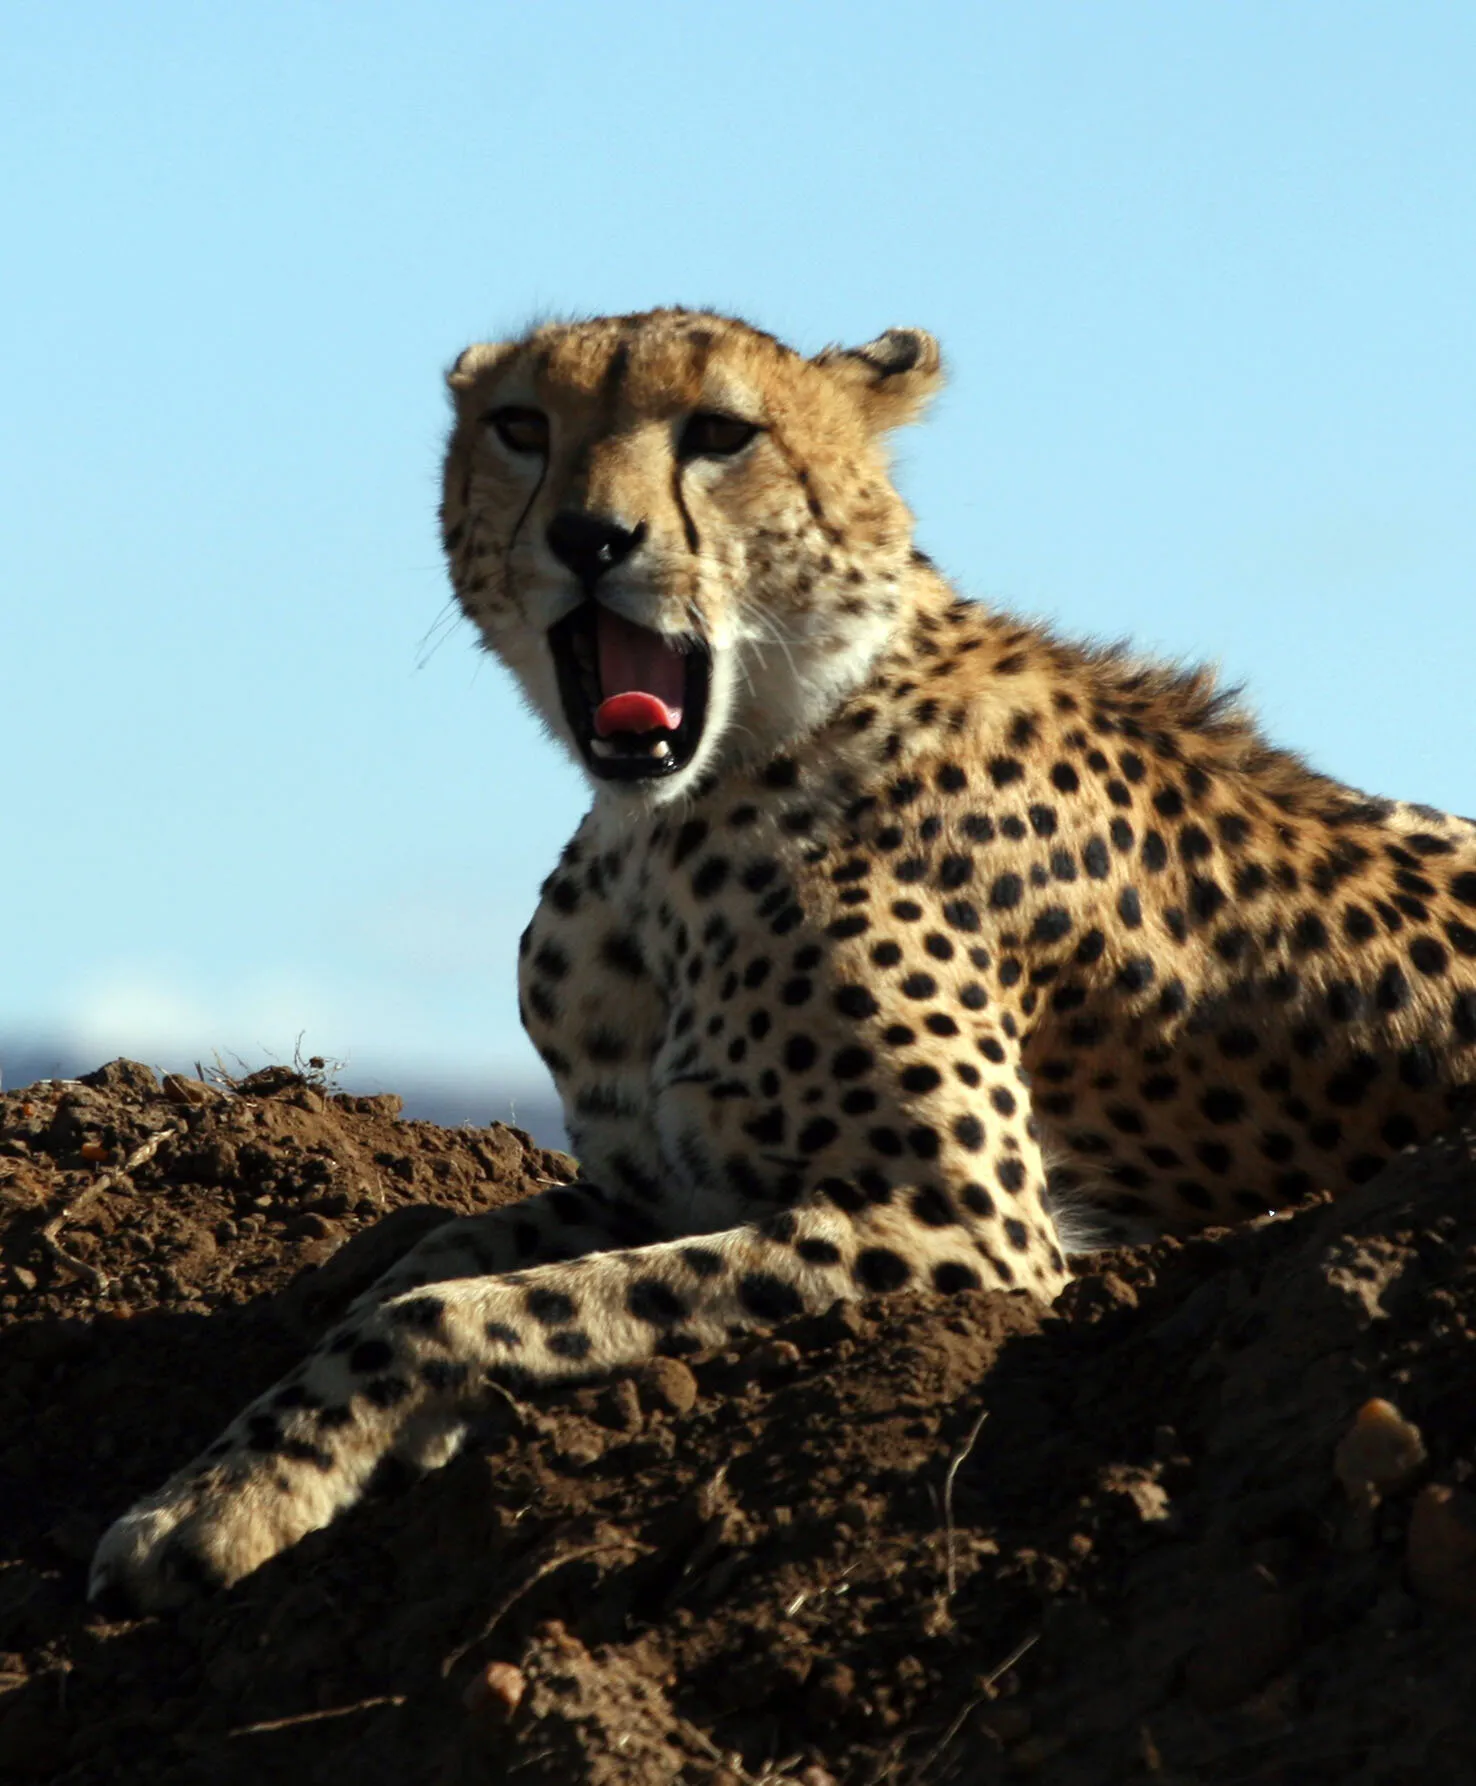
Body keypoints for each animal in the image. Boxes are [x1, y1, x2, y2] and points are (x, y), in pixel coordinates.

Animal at [91, 307, 1476, 1612]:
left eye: (719, 433)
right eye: (522, 427)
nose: (591, 538)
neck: (672, 820)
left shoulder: (974, 1227)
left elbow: (452, 1310)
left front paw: (224, 1504)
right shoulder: (655, 1178)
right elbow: (435, 1259)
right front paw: (243, 1454)